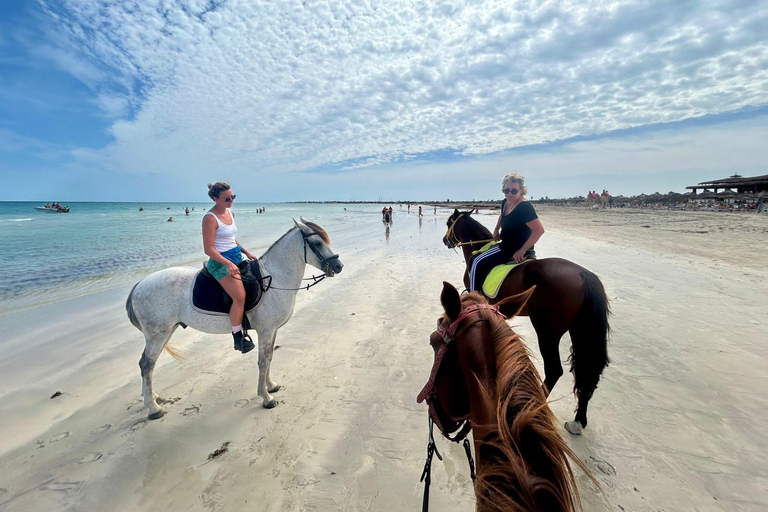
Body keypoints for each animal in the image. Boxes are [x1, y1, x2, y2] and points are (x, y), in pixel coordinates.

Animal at [126, 217, 342, 420]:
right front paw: (266, 397)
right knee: (147, 364)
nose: (338, 266)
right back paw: (153, 408)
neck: (275, 278)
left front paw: (270, 385)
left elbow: (269, 357)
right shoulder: (265, 330)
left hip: (166, 332)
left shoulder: (272, 330)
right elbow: (263, 361)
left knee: (148, 364)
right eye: (317, 242)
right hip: (157, 335)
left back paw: (153, 398)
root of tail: (139, 284)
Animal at [440, 210, 608, 434]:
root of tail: (583, 275)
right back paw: (579, 420)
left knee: (554, 370)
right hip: (580, 331)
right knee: (586, 374)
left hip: (547, 332)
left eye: (449, 223)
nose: (445, 240)